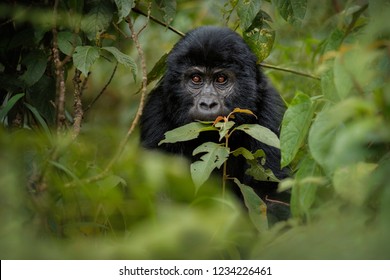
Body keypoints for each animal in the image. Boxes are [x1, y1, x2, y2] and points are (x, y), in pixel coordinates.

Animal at [140, 26, 290, 223]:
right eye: (196, 79)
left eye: (221, 79)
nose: (208, 103)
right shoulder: (156, 111)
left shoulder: (271, 111)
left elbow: (271, 196)